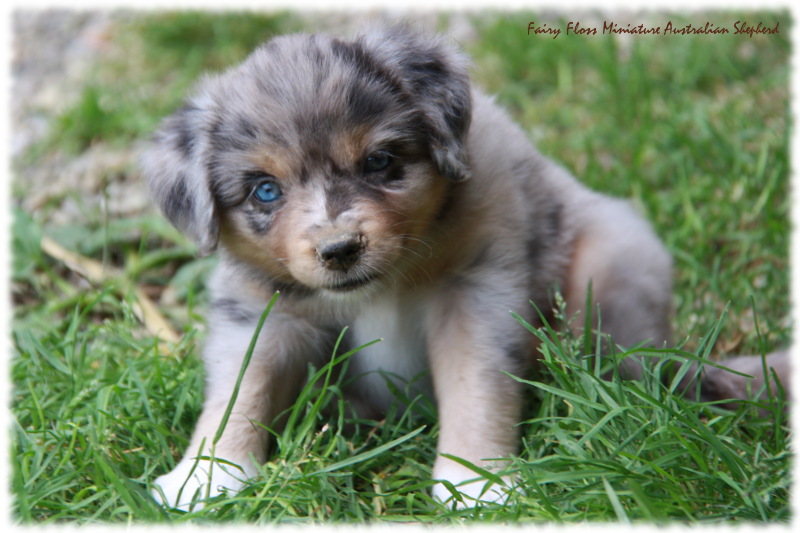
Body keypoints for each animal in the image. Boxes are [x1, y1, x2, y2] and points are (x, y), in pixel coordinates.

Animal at [142, 25, 788, 508]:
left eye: (379, 162)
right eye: (266, 192)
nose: (340, 249)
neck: (381, 286)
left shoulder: (476, 295)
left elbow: (477, 387)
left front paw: (478, 483)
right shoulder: (262, 310)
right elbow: (240, 389)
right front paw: (207, 475)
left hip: (609, 271)